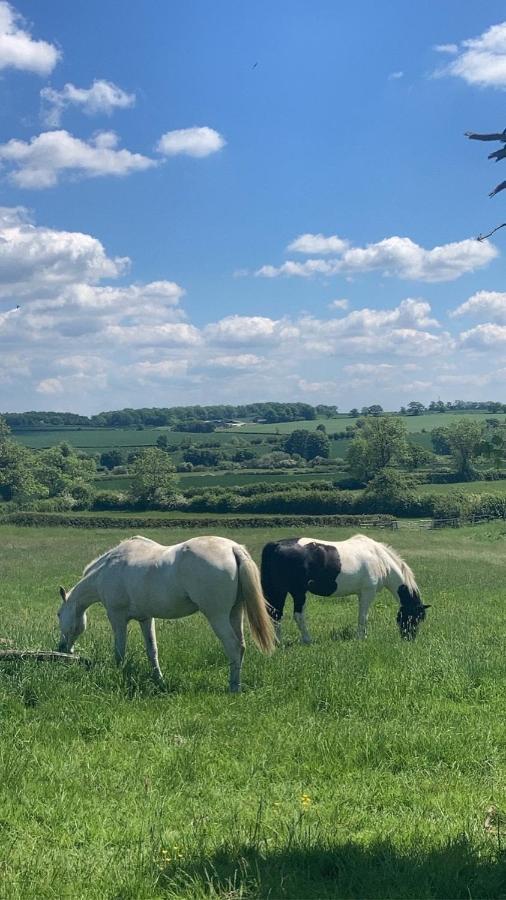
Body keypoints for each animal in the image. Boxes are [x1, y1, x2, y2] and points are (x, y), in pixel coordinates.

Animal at [57, 536, 274, 696]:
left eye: (59, 615)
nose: (62, 648)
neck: (107, 569)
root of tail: (233, 548)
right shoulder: (145, 619)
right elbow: (152, 651)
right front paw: (158, 680)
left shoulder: (117, 618)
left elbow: (119, 652)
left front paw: (118, 675)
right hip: (235, 613)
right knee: (241, 646)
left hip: (217, 616)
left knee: (234, 647)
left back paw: (233, 688)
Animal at [260, 532, 430, 644]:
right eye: (415, 617)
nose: (409, 639)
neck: (380, 560)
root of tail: (276, 545)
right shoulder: (368, 592)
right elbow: (363, 617)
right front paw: (362, 638)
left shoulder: (361, 594)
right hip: (297, 592)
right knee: (297, 616)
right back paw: (307, 640)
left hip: (279, 591)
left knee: (275, 614)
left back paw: (278, 643)